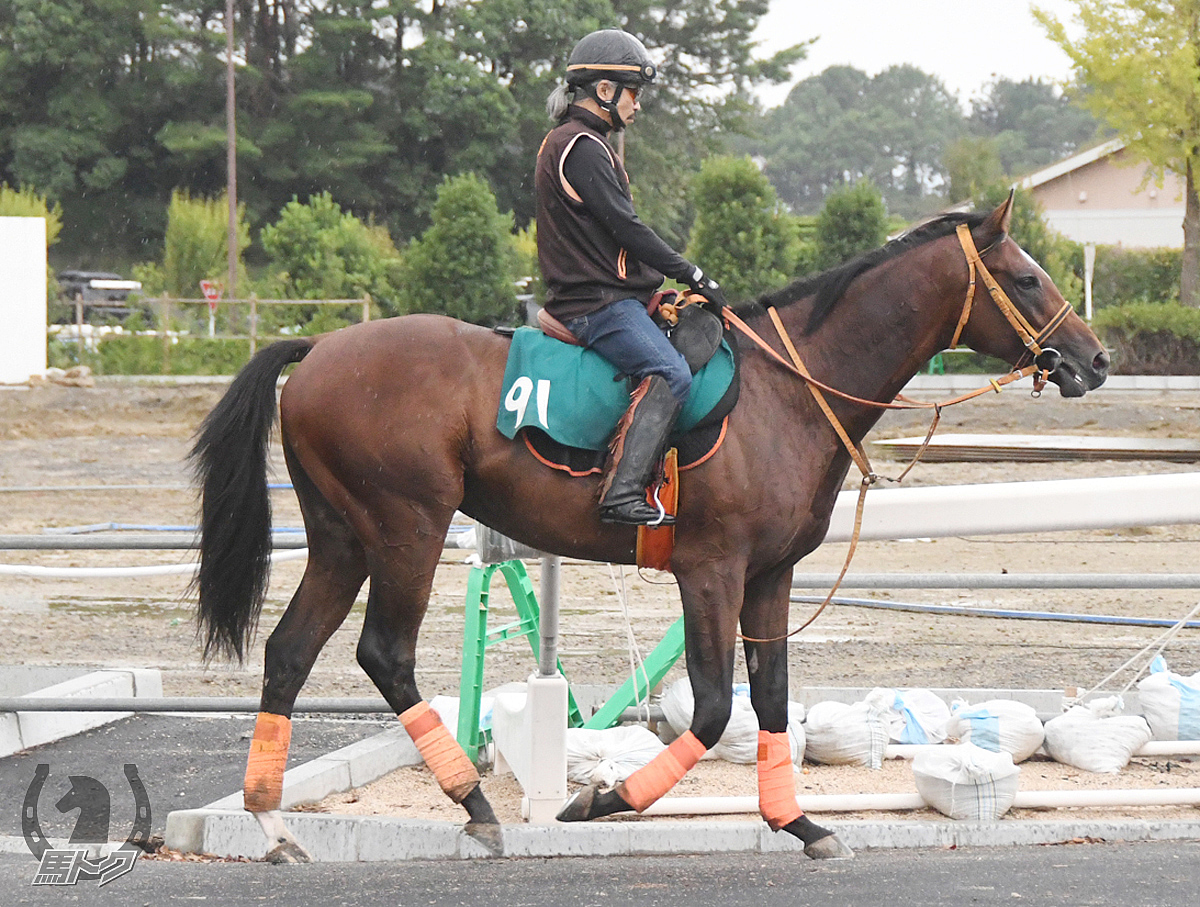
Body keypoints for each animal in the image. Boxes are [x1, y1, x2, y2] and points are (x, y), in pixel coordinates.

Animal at [194, 194, 1104, 859]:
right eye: (1026, 278)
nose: (1094, 359)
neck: (789, 388)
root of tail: (320, 348)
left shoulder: (769, 576)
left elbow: (771, 699)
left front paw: (799, 822)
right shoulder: (711, 572)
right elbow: (712, 707)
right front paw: (605, 797)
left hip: (343, 539)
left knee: (289, 652)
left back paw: (272, 821)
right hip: (406, 531)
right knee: (384, 653)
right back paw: (475, 802)